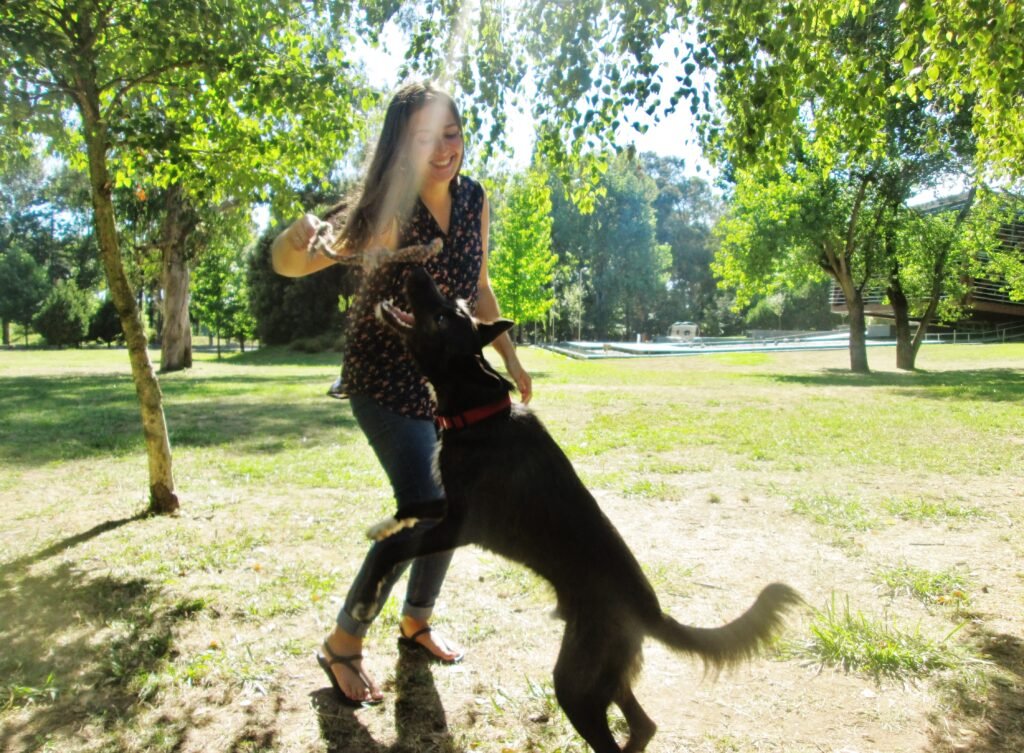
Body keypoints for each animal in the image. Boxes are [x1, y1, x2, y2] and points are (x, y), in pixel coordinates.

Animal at [364, 266, 802, 753]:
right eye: (451, 305)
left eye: (444, 316)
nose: (417, 269)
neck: (478, 410)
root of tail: (651, 613)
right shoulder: (445, 503)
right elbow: (412, 507)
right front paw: (382, 524)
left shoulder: (460, 525)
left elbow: (398, 549)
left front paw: (369, 591)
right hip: (602, 672)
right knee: (644, 725)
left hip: (575, 681)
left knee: (618, 732)